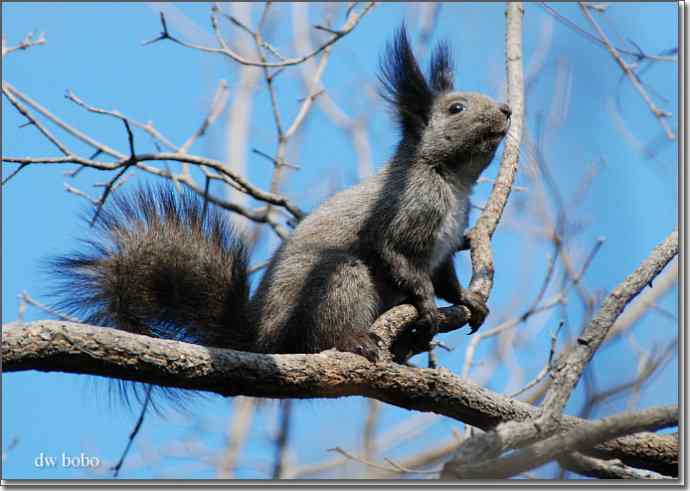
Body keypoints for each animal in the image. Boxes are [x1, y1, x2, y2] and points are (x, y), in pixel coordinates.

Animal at [49, 26, 510, 366]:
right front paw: (428, 304)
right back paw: (355, 341)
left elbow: (446, 277)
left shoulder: (445, 244)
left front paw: (468, 300)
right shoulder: (405, 211)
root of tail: (259, 340)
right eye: (456, 109)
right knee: (328, 323)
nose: (507, 110)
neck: (453, 181)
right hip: (333, 283)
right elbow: (399, 259)